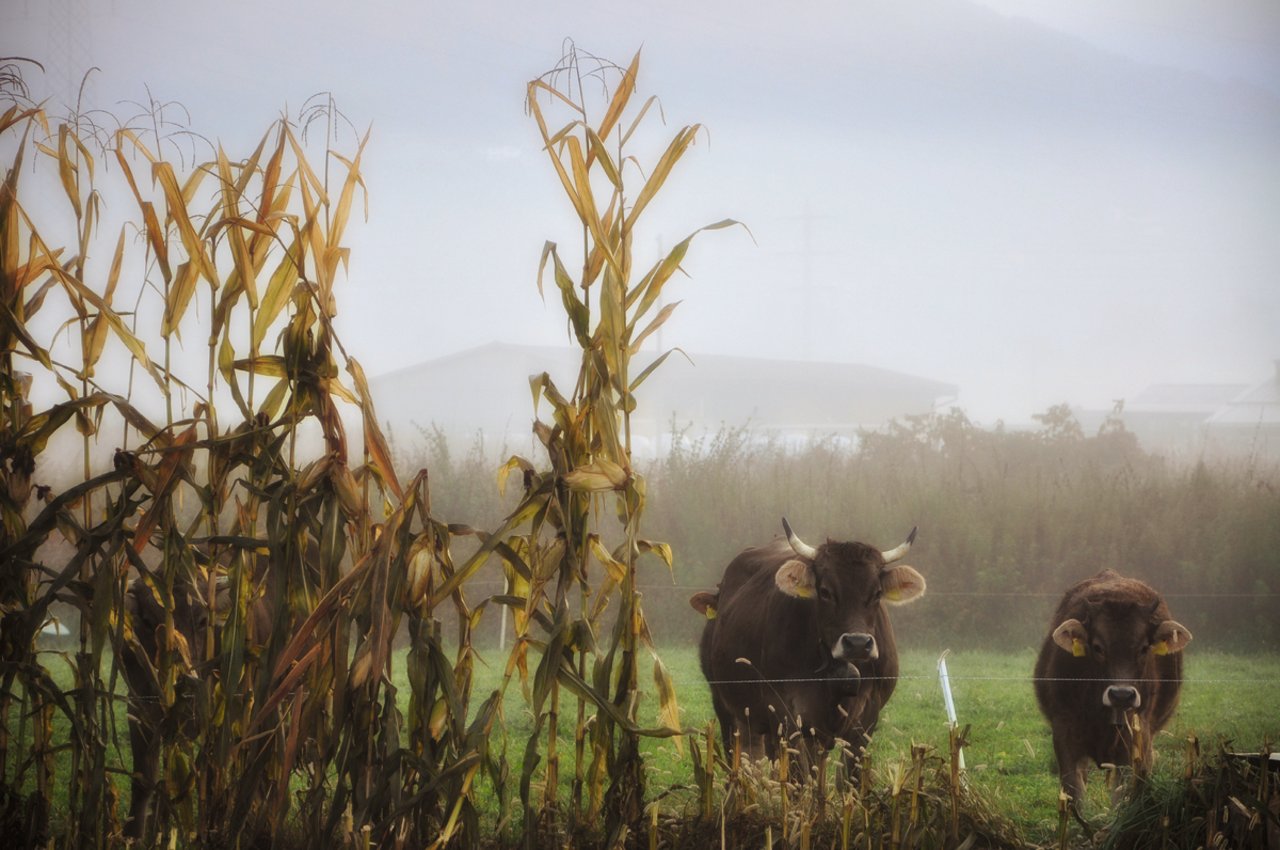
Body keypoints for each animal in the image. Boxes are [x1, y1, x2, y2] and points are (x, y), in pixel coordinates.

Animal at [686, 517, 926, 778]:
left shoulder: (866, 721)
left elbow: (847, 779)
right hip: (729, 709)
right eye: (825, 591)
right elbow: (798, 778)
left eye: (877, 593)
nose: (858, 644)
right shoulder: (786, 716)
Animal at [1029, 570, 1187, 803]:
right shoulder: (1065, 736)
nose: (1121, 695)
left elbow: (1122, 799)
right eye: (1097, 647)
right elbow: (1074, 795)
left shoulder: (1135, 742)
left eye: (1144, 648)